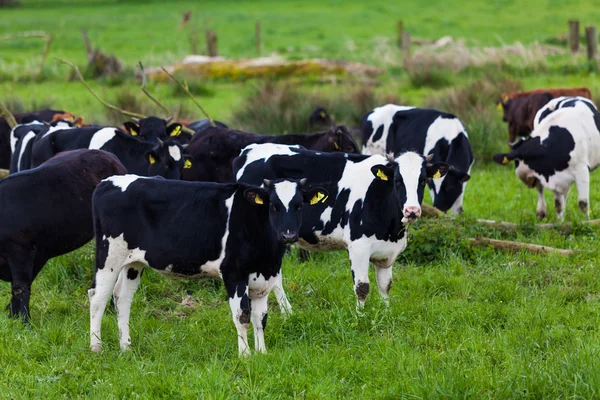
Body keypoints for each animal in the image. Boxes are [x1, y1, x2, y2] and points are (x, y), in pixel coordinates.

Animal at [88, 173, 328, 354]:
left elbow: (261, 319)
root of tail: (107, 182)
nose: (288, 235)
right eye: (274, 206)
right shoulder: (233, 273)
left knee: (122, 298)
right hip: (108, 256)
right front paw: (245, 356)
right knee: (98, 297)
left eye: (299, 205)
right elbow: (242, 316)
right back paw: (96, 347)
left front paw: (262, 353)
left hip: (133, 262)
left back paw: (126, 347)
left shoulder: (265, 278)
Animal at [232, 144, 448, 310]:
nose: (412, 210)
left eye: (423, 180)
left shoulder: (387, 252)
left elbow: (385, 285)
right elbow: (362, 287)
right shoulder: (358, 247)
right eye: (397, 180)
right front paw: (361, 318)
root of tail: (249, 150)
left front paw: (387, 313)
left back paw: (288, 313)